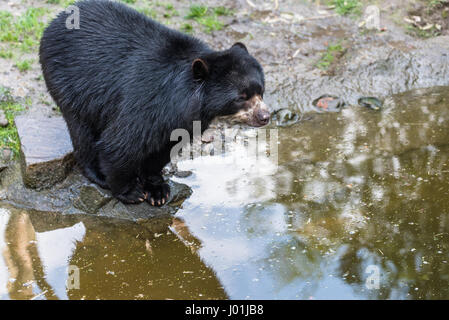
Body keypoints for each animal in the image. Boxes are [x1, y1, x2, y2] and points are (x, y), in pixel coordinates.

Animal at [38, 0, 268, 206]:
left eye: (261, 90)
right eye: (241, 97)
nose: (265, 116)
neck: (184, 99)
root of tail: (54, 21)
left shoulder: (185, 120)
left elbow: (164, 148)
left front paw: (157, 190)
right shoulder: (147, 99)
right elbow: (120, 143)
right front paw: (130, 191)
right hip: (70, 84)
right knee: (82, 130)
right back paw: (97, 173)